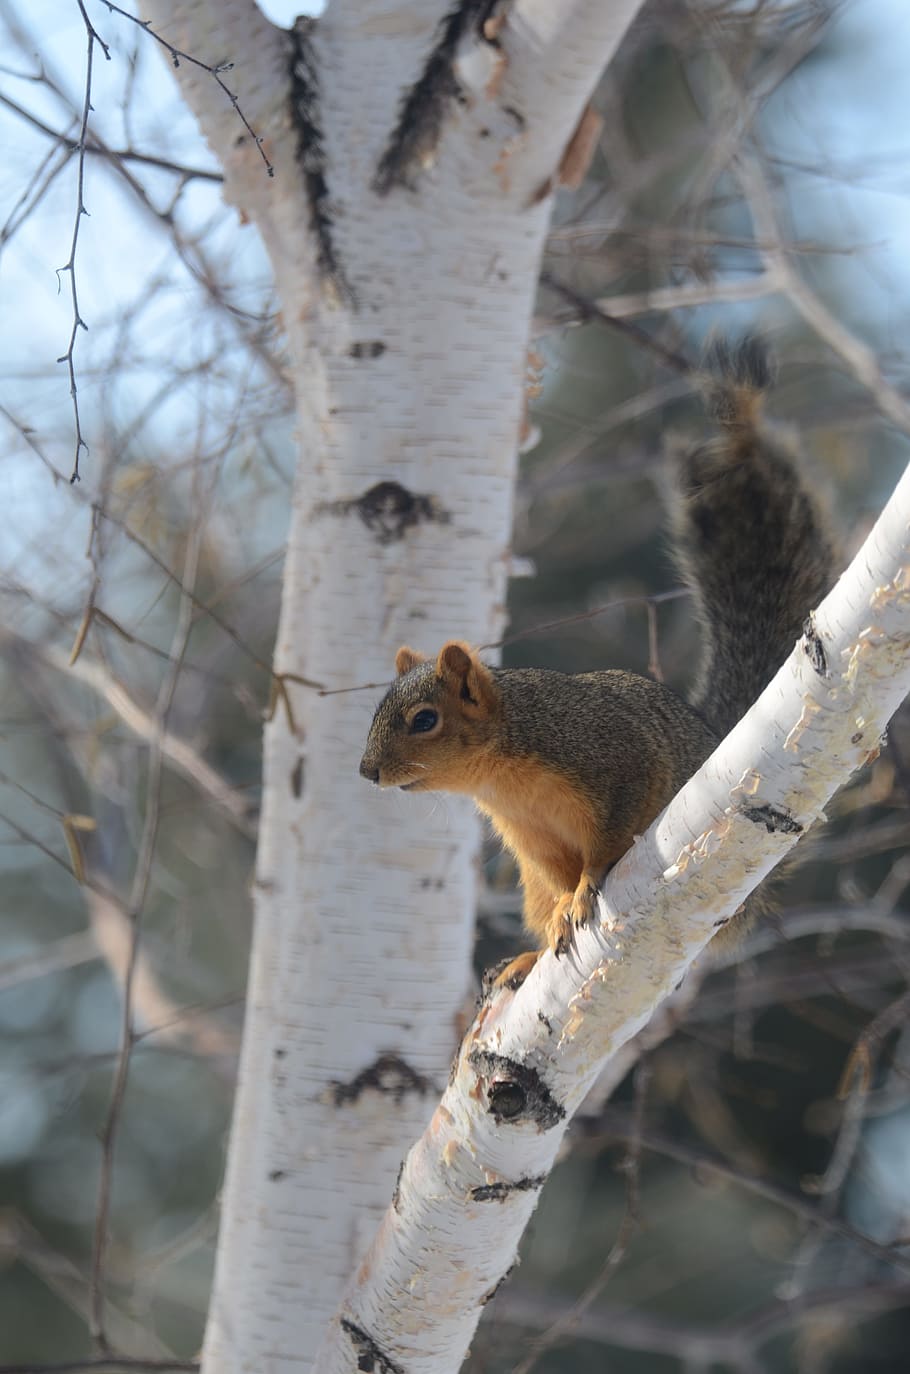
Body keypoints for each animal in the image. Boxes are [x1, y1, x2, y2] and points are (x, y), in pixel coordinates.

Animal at [359, 339, 835, 985]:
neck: (503, 770)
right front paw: (563, 910)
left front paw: (585, 893)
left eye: (425, 720)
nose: (367, 771)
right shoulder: (534, 844)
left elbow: (607, 842)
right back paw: (525, 960)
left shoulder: (613, 760)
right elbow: (559, 876)